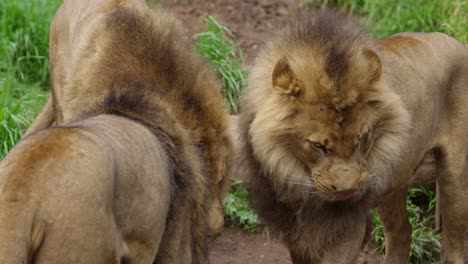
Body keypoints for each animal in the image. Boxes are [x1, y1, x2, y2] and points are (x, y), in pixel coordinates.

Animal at [239, 10, 468, 264]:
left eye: (362, 139)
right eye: (318, 146)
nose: (347, 192)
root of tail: (455, 41)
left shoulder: (347, 228)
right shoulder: (295, 232)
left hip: (455, 177)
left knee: (454, 245)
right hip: (393, 183)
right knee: (402, 233)